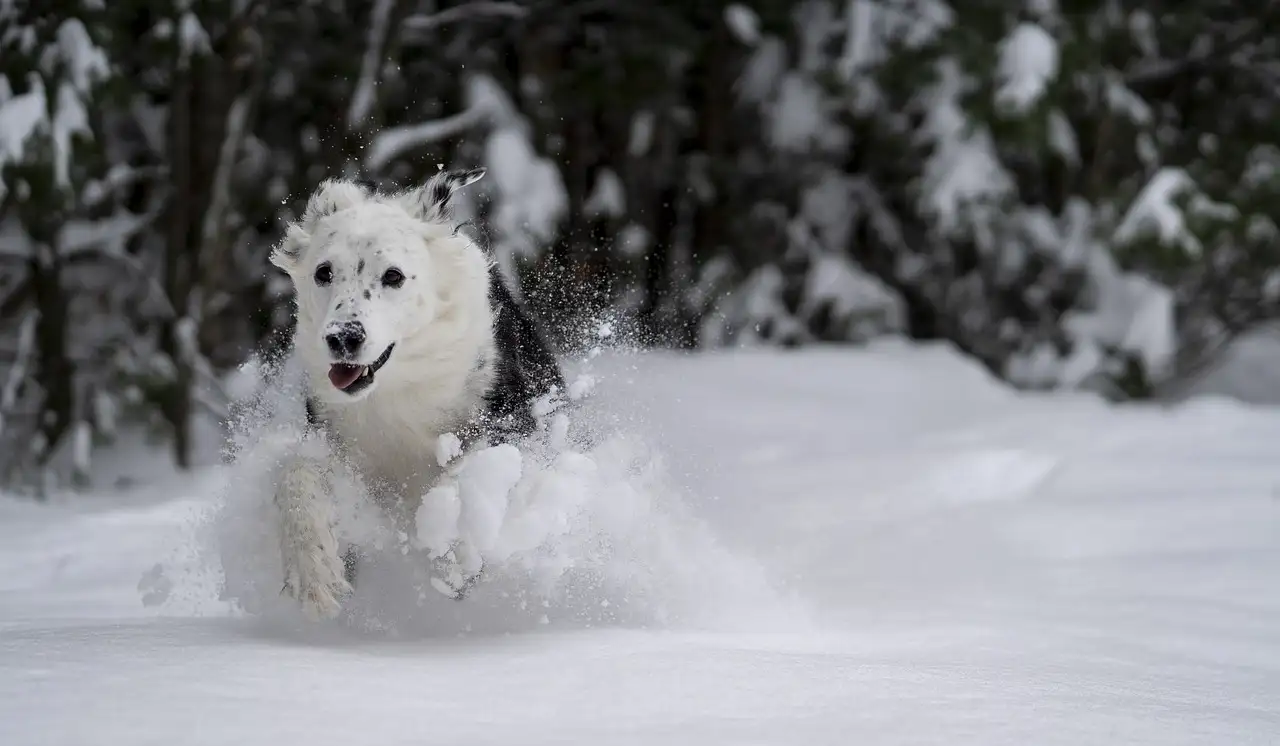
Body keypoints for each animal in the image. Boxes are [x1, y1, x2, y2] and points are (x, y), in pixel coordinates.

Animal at [267, 167, 563, 619]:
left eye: (393, 275)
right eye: (323, 272)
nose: (343, 338)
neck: (398, 386)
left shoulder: (513, 420)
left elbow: (467, 471)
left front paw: (453, 552)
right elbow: (296, 472)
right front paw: (314, 571)